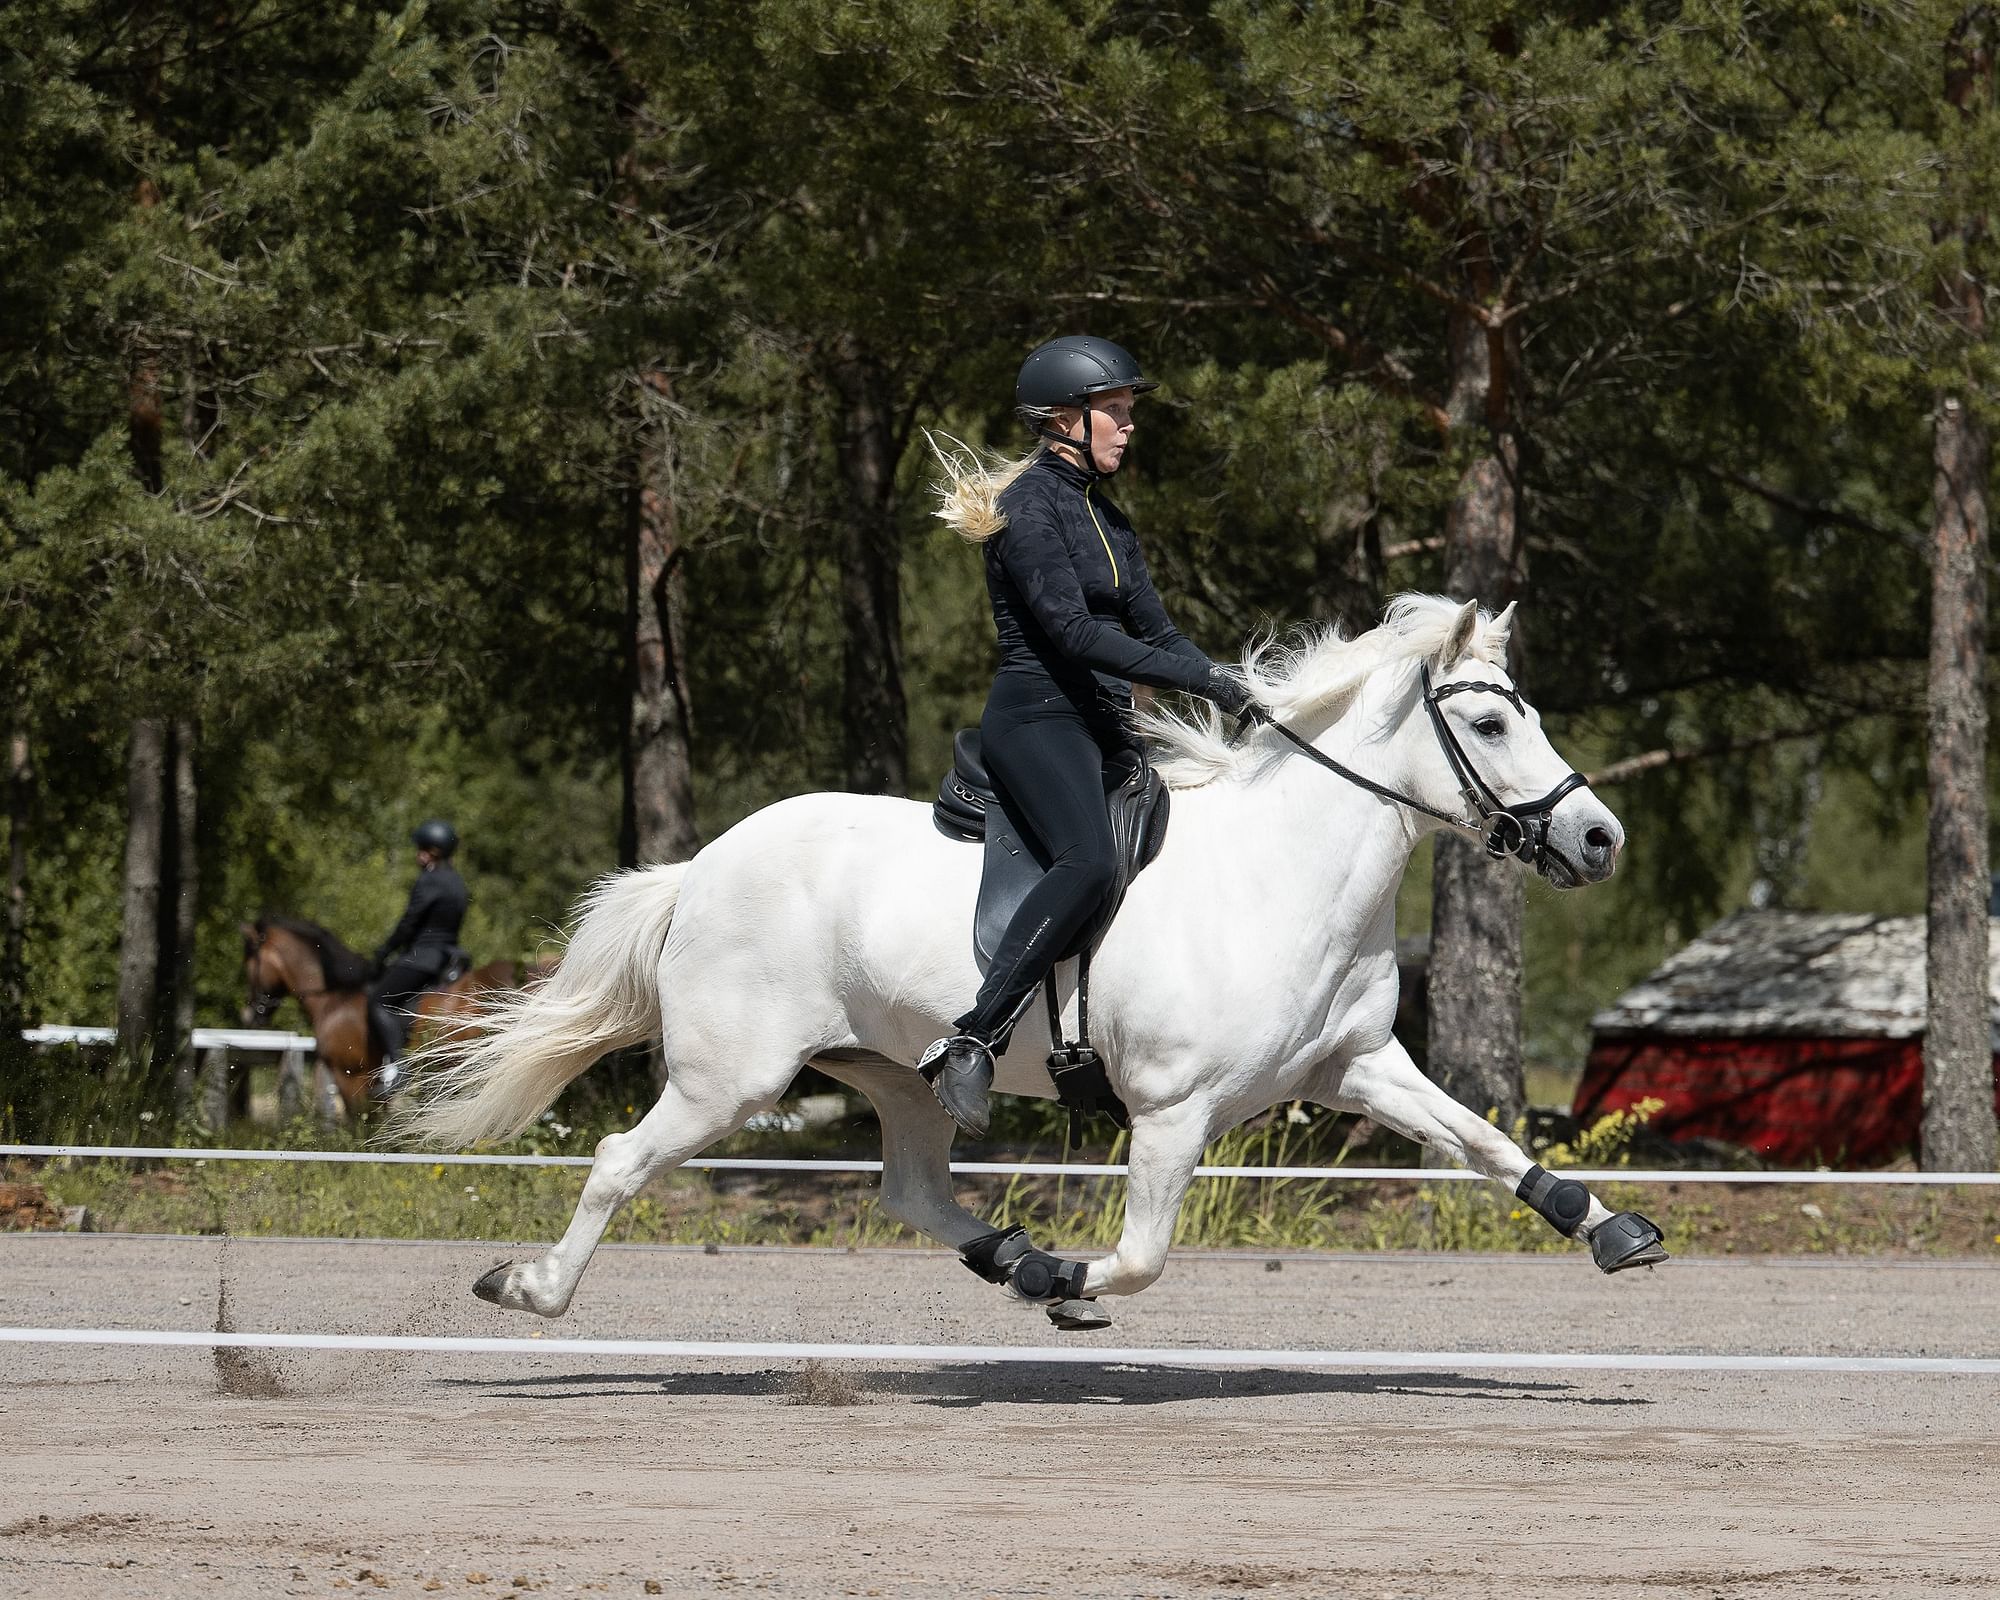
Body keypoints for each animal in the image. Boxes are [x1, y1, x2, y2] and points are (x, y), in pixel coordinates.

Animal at [402, 596, 1656, 1328]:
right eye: (1487, 726)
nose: (1600, 839)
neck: (1281, 877)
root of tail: (701, 866)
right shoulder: (1171, 1110)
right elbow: (1143, 1255)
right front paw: (1072, 1286)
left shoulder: (1354, 1065)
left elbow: (1484, 1141)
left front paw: (1606, 1228)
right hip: (731, 1079)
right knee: (619, 1159)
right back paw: (532, 1288)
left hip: (893, 1075)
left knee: (912, 1188)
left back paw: (1015, 1258)